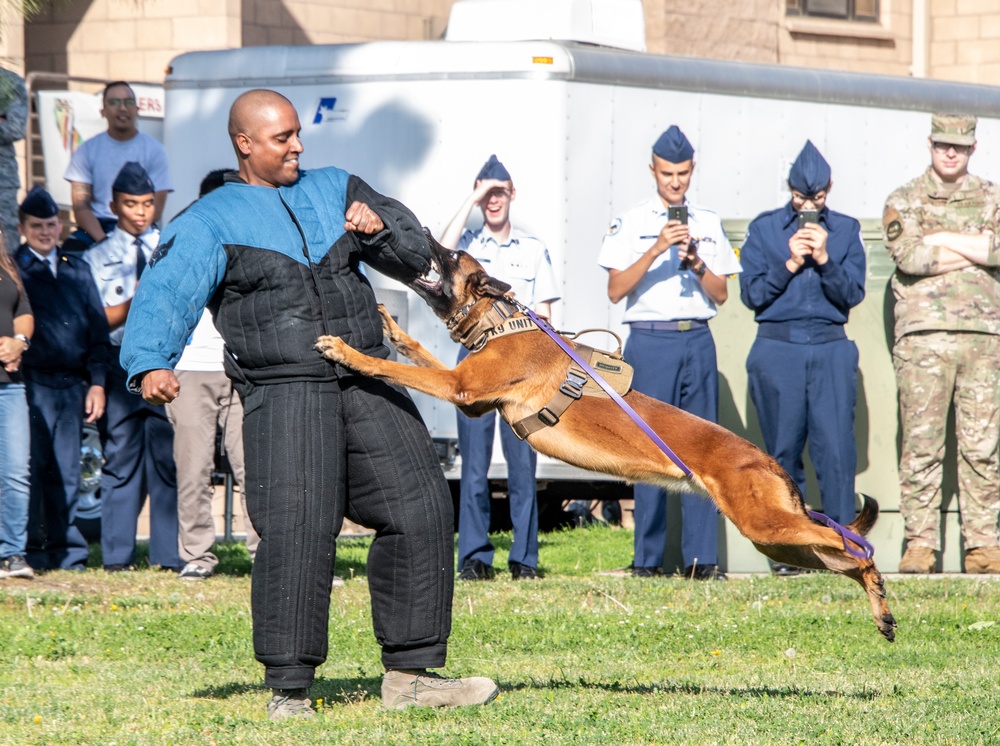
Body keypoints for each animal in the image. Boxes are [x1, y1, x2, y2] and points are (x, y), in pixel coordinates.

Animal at [314, 237, 900, 640]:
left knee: (855, 545)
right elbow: (415, 351)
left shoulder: (461, 387)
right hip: (775, 538)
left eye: (453, 254)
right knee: (843, 555)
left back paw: (879, 585)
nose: (426, 236)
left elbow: (400, 368)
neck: (501, 322)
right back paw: (881, 608)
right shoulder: (469, 392)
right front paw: (392, 327)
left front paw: (349, 351)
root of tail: (767, 461)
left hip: (768, 525)